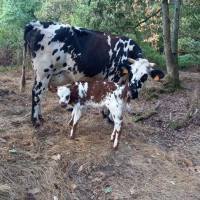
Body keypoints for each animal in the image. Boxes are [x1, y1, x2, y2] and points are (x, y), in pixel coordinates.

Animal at [20, 20, 164, 126]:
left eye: (145, 76)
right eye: (132, 72)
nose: (133, 93)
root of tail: (34, 24)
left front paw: (106, 115)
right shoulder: (113, 77)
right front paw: (110, 118)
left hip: (42, 75)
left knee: (40, 94)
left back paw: (40, 117)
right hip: (43, 72)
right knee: (36, 92)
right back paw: (35, 121)